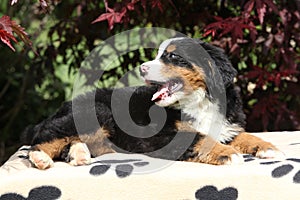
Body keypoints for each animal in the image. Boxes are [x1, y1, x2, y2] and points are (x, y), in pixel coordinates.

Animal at [24, 37, 280, 169]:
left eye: (173, 56)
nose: (142, 68)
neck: (198, 102)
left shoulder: (227, 125)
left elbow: (245, 136)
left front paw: (267, 147)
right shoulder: (166, 135)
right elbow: (201, 138)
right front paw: (227, 153)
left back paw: (79, 155)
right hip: (95, 111)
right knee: (45, 138)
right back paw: (41, 157)